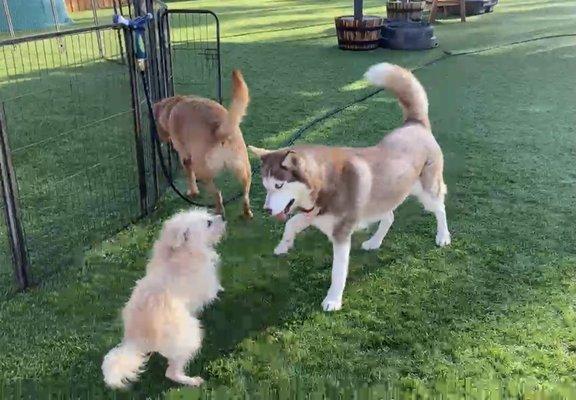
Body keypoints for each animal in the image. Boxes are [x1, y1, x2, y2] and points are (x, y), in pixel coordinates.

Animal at [101, 208, 225, 390]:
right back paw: (192, 381)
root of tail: (136, 338)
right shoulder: (207, 284)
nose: (222, 216)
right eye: (208, 223)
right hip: (189, 337)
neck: (180, 252)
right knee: (171, 373)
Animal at [153, 70, 252, 217]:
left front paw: (192, 192)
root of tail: (218, 129)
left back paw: (217, 211)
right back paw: (246, 211)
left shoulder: (185, 157)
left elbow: (190, 176)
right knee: (245, 192)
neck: (172, 106)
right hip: (244, 168)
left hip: (202, 169)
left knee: (217, 193)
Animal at [250, 62, 452, 312]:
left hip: (427, 191)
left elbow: (338, 272)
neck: (325, 184)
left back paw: (443, 236)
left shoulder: (341, 234)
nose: (267, 210)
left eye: (279, 185)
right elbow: (291, 223)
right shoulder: (313, 213)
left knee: (440, 208)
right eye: (266, 187)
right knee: (389, 216)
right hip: (382, 196)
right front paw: (283, 246)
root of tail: (415, 123)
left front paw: (333, 300)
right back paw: (375, 241)